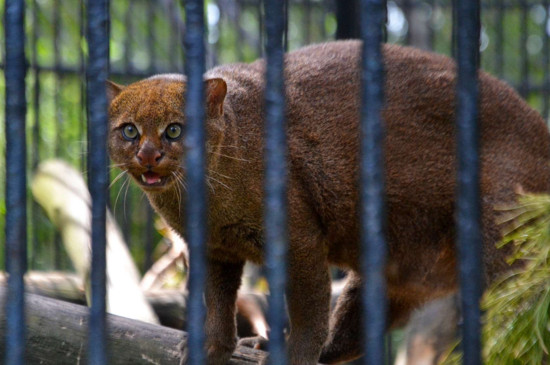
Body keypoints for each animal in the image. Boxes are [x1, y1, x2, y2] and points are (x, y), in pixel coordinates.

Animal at [106, 40, 550, 364]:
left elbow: (308, 310)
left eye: (175, 130)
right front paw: (212, 348)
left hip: (504, 249)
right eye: (129, 130)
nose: (148, 155)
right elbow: (217, 304)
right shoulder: (215, 250)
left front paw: (294, 356)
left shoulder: (299, 240)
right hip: (390, 273)